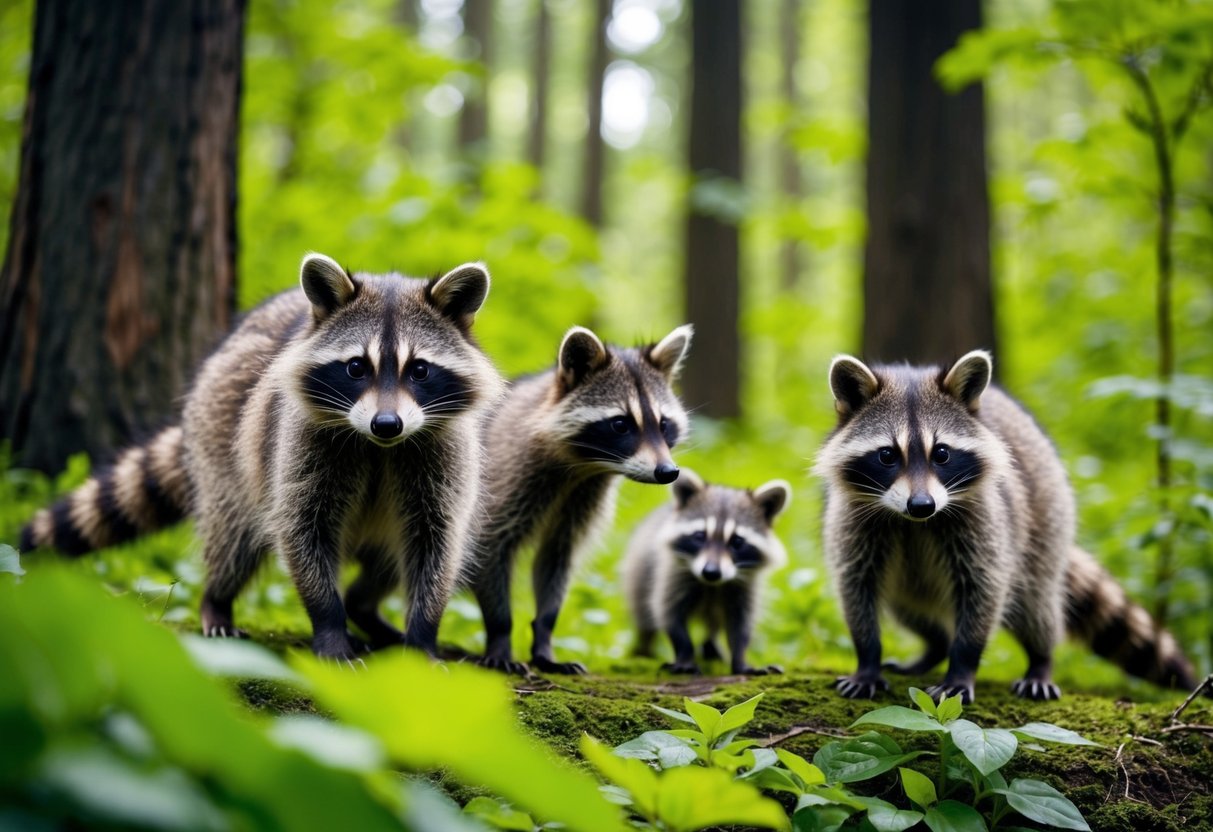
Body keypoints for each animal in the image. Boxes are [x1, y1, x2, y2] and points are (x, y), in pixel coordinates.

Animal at [22, 254, 503, 661]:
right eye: (356, 368)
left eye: (419, 370)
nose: (387, 424)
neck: (378, 448)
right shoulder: (299, 444)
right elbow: (302, 529)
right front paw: (329, 625)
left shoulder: (442, 456)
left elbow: (436, 543)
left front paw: (422, 635)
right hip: (221, 443)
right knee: (232, 537)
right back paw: (217, 599)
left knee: (386, 561)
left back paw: (365, 610)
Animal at [471, 324, 692, 675]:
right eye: (620, 424)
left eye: (663, 424)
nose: (668, 472)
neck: (584, 468)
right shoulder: (504, 478)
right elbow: (490, 546)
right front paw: (500, 636)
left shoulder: (581, 500)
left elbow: (557, 558)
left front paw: (544, 639)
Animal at [622, 469, 790, 676]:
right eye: (700, 536)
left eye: (737, 541)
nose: (711, 572)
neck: (713, 585)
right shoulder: (671, 572)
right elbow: (669, 613)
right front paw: (685, 655)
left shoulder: (745, 585)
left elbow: (741, 625)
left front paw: (740, 660)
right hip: (638, 575)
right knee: (643, 618)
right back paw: (644, 649)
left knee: (714, 623)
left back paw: (711, 645)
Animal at [815, 350, 1197, 703]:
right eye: (887, 455)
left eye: (941, 453)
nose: (922, 505)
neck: (913, 523)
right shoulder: (854, 526)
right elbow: (856, 590)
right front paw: (867, 660)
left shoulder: (986, 523)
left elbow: (985, 591)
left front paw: (962, 667)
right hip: (911, 585)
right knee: (908, 608)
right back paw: (934, 648)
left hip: (1048, 522)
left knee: (1036, 606)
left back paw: (1041, 660)